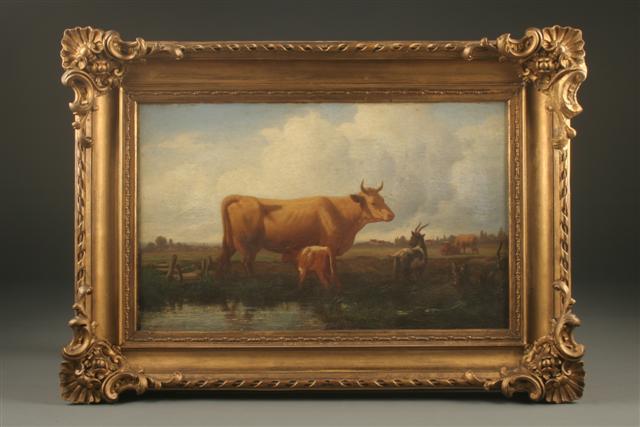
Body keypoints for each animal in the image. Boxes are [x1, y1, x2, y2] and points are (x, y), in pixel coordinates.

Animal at [216, 180, 395, 276]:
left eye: (383, 199)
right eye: (373, 202)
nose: (391, 215)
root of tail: (241, 197)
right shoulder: (330, 245)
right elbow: (333, 266)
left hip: (231, 242)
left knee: (224, 258)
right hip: (248, 243)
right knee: (246, 262)